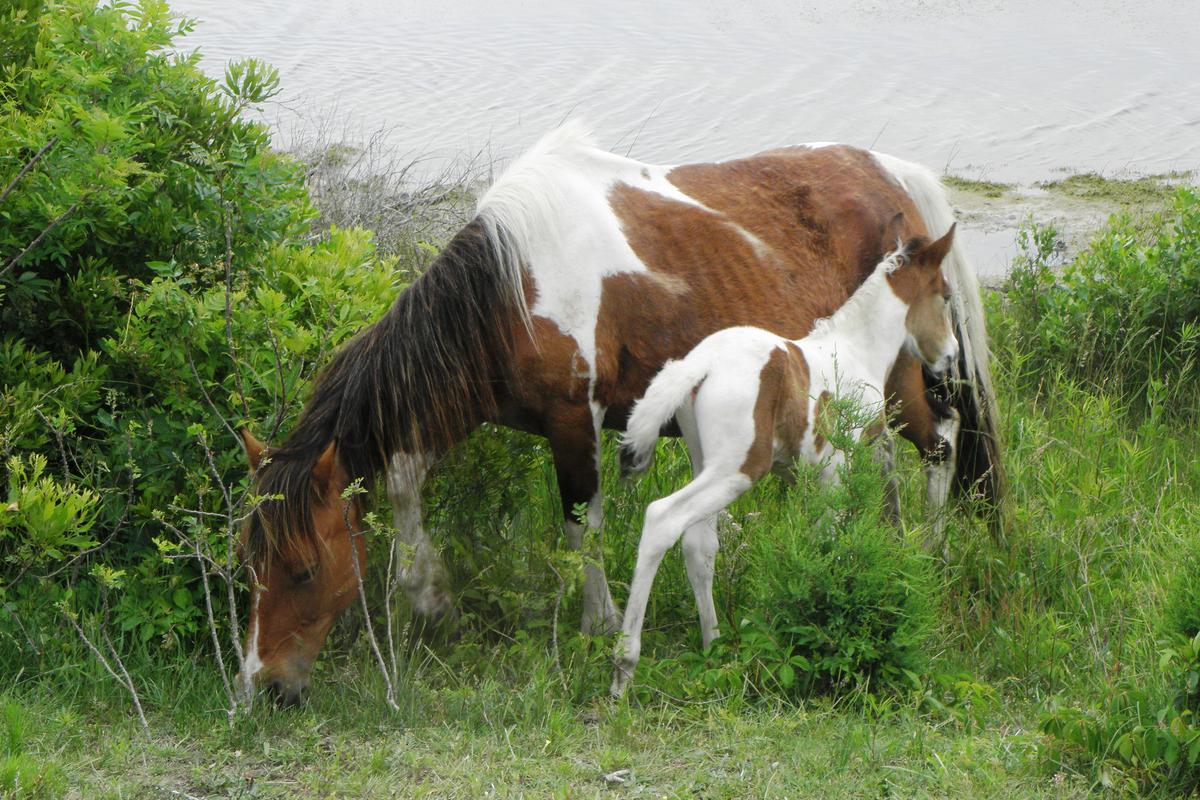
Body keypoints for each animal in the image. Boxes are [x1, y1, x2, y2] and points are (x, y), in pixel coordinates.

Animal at [610, 225, 958, 696]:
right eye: (945, 295)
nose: (951, 356)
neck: (856, 349)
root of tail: (697, 365)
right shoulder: (835, 469)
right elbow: (832, 540)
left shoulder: (806, 474)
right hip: (736, 469)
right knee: (662, 518)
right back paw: (623, 668)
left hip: (705, 463)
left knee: (699, 544)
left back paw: (715, 646)